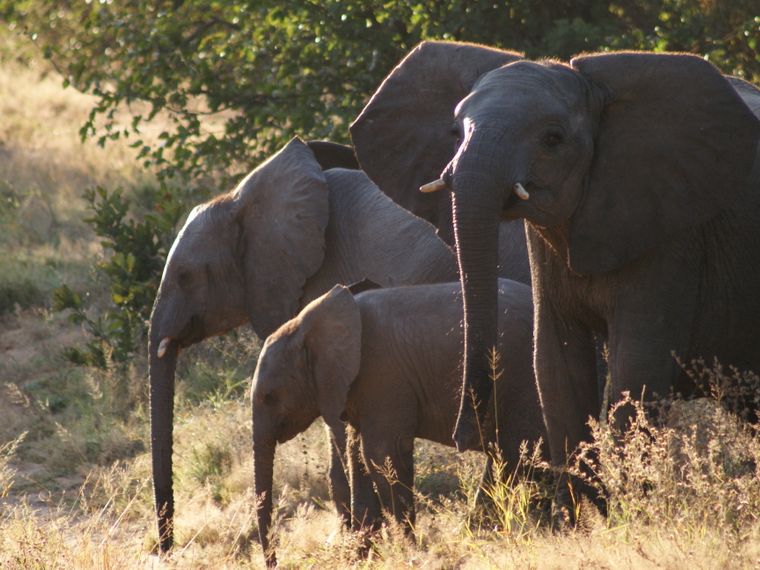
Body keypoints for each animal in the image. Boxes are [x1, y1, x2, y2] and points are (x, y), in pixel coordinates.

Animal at [251, 280, 546, 566]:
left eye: (269, 397)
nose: (274, 562)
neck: (307, 324)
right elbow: (357, 457)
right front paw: (359, 557)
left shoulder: (382, 374)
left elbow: (381, 454)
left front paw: (409, 552)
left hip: (520, 378)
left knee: (516, 453)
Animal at [350, 41, 760, 512]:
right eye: (454, 132)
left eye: (552, 139)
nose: (465, 434)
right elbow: (556, 365)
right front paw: (589, 515)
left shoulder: (672, 233)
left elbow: (634, 370)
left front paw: (627, 512)